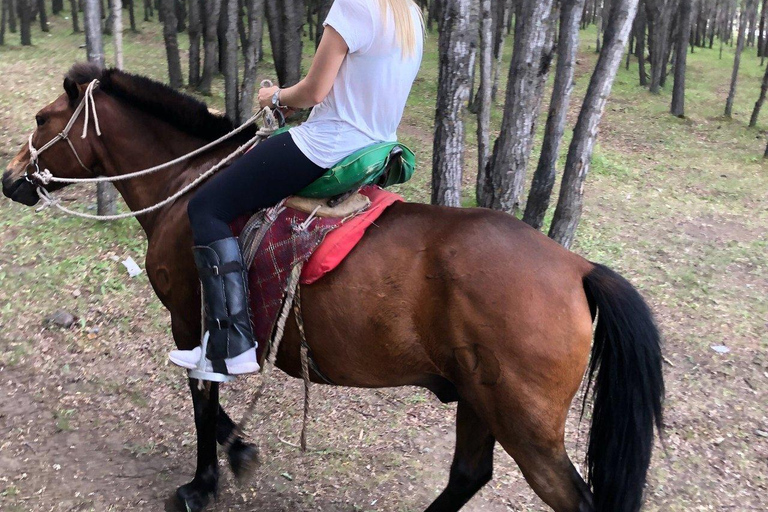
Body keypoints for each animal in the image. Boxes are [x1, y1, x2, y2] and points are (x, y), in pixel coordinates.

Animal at [2, 63, 664, 512]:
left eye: (41, 120)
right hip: (482, 400)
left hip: (525, 425)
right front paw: (238, 450)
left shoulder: (191, 320)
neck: (189, 182)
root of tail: (577, 267)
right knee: (469, 475)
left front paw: (202, 483)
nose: (11, 178)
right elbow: (210, 401)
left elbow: (201, 395)